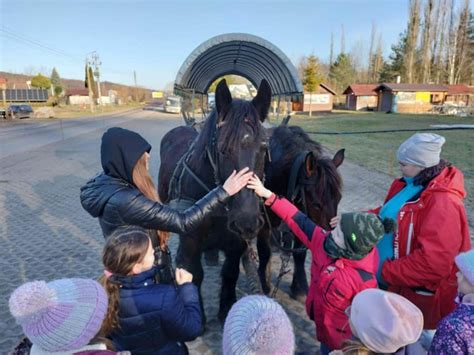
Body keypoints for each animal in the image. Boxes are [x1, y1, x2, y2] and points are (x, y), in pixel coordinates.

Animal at [256, 124, 344, 300]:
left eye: (339, 198)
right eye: (316, 204)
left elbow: (299, 254)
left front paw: (299, 287)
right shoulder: (263, 222)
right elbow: (264, 251)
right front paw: (264, 283)